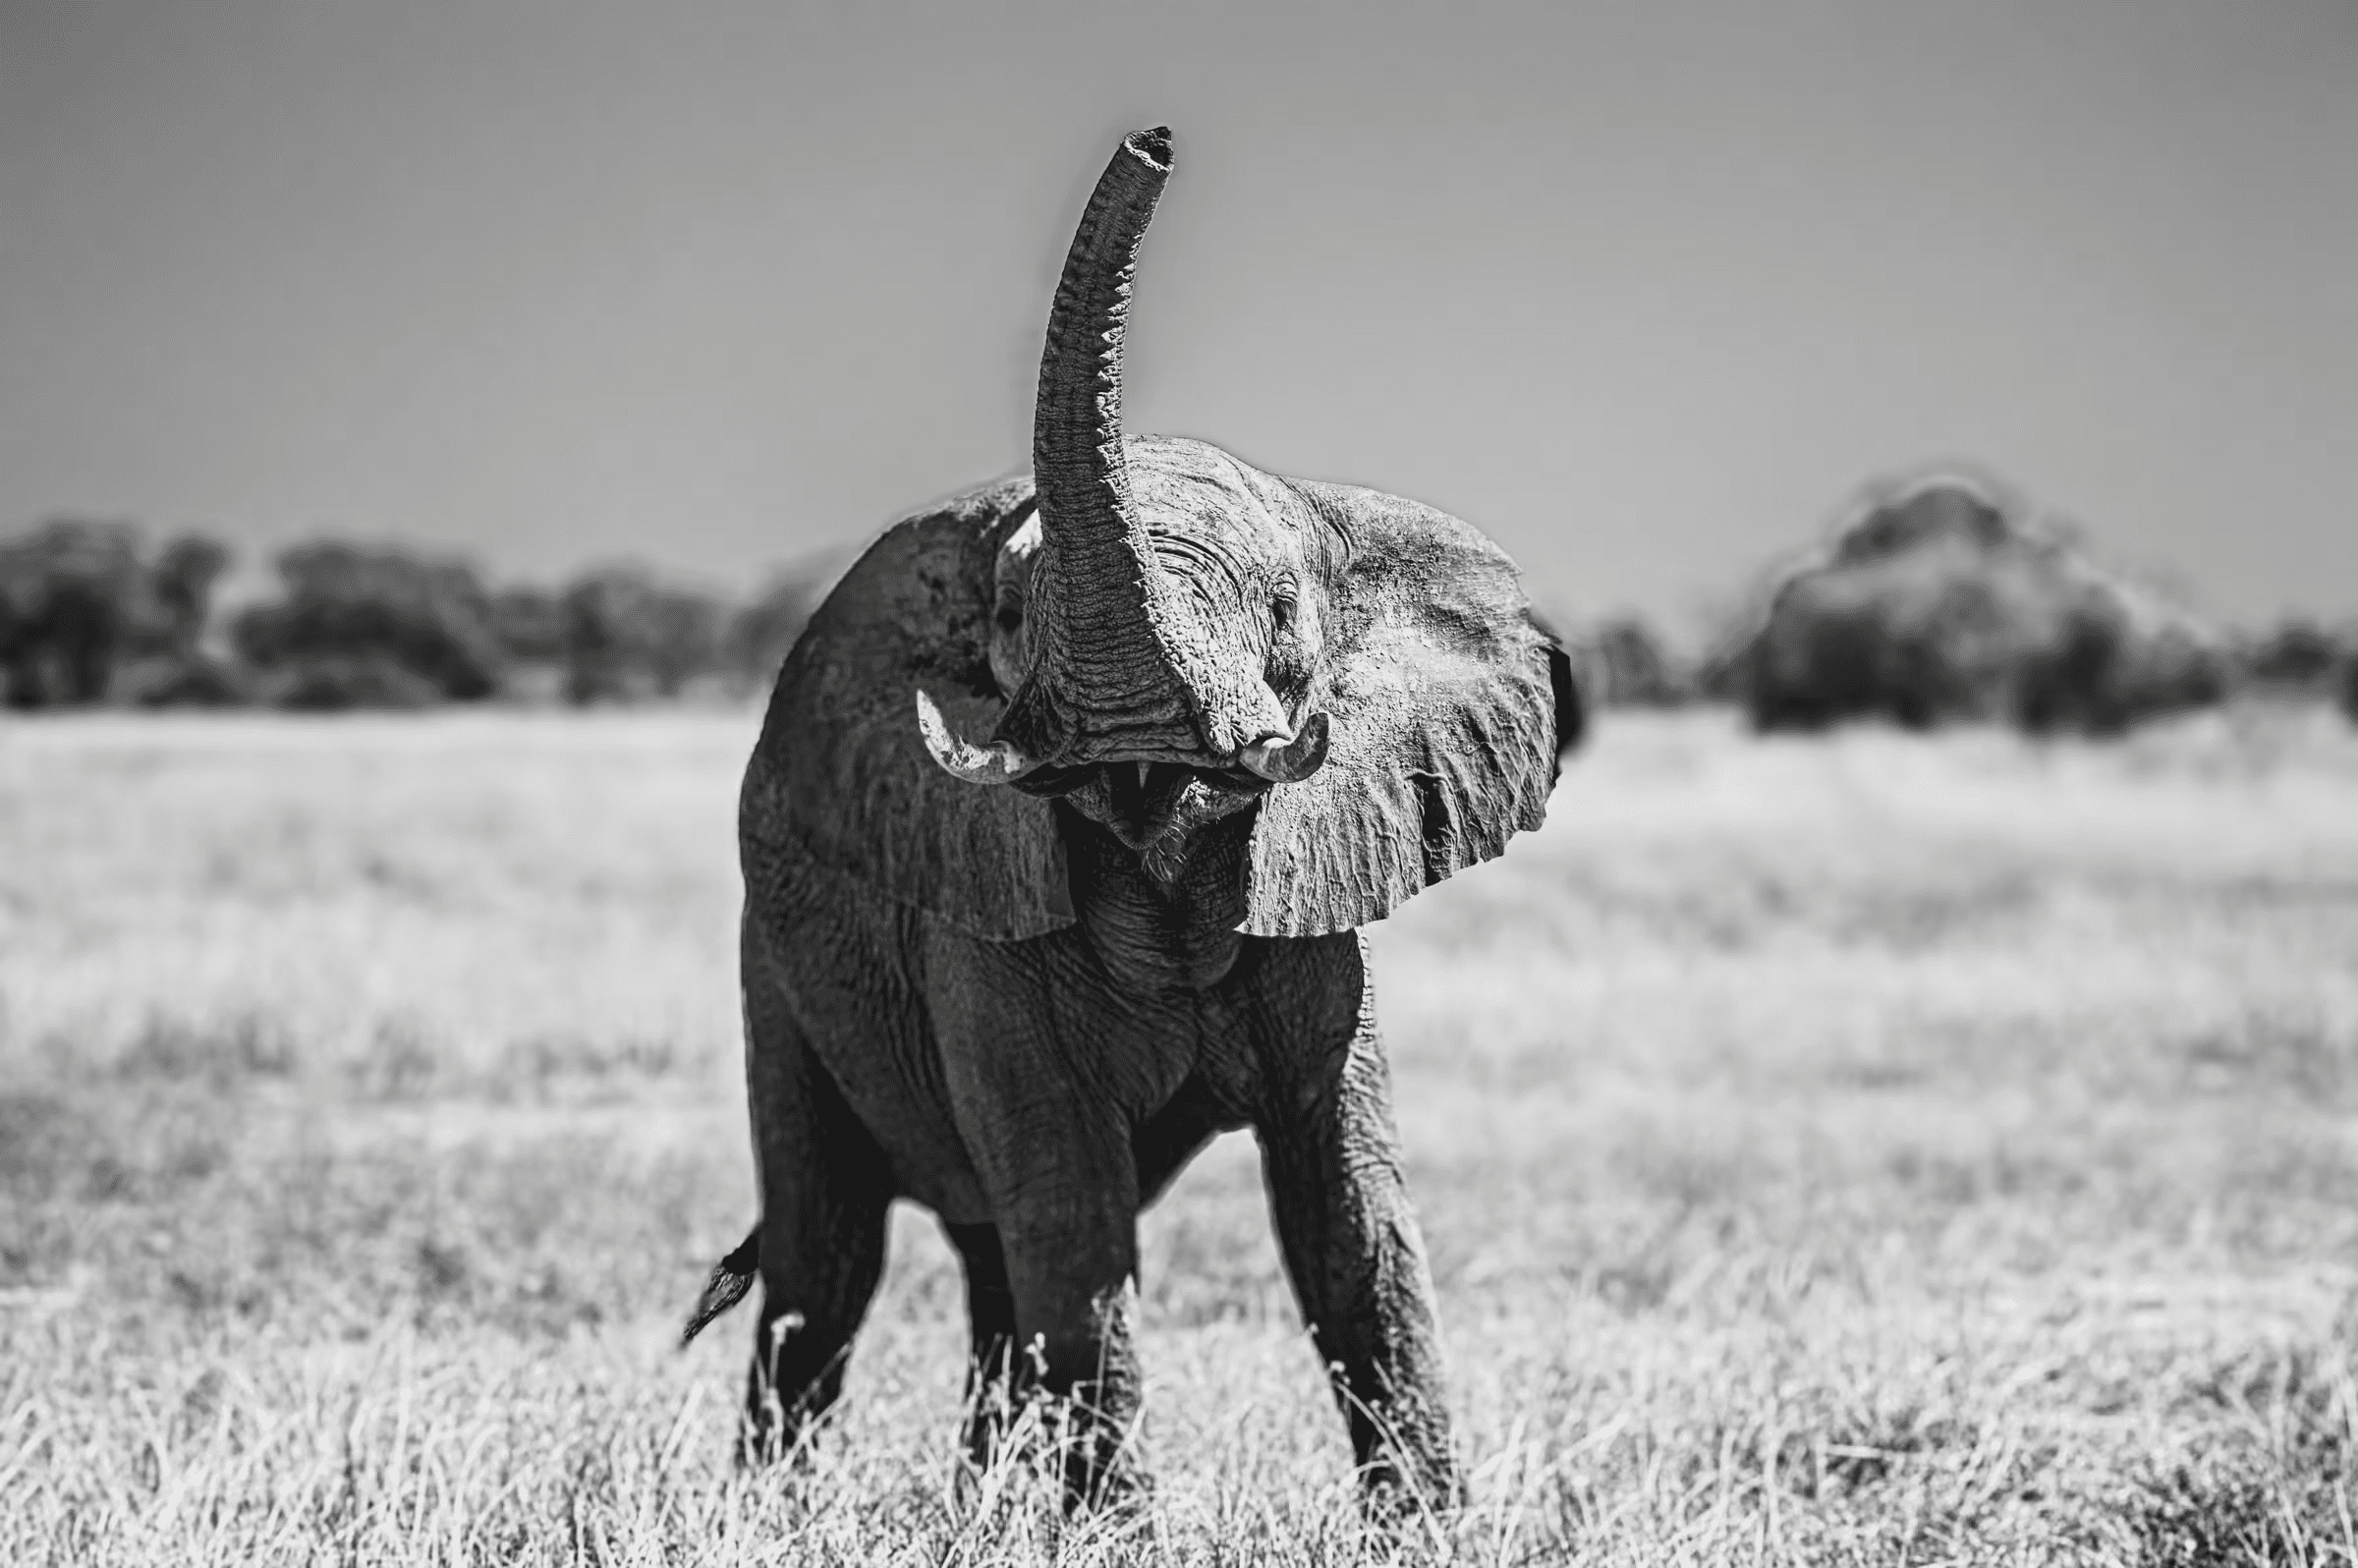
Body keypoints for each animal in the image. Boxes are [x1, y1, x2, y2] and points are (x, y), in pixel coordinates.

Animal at [683, 126, 1571, 1509]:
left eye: (1282, 617)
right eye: (1005, 619)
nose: (1154, 142)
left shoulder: (1316, 900)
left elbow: (1348, 1213)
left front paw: (1431, 1529)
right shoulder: (979, 912)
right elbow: (1074, 1214)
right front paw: (1119, 1530)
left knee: (984, 1266)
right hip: (775, 965)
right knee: (829, 1261)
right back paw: (781, 1510)